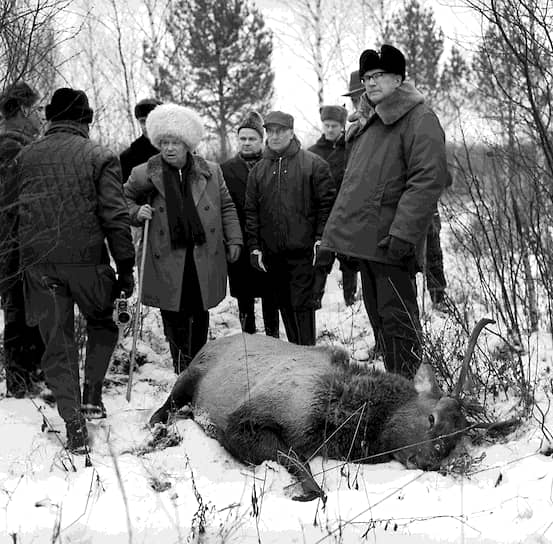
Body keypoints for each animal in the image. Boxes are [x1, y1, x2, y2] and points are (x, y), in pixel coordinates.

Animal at [148, 318, 492, 502]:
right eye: (431, 417)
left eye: (457, 437)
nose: (430, 461)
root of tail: (210, 343)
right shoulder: (241, 421)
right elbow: (299, 464)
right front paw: (306, 492)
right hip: (190, 374)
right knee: (167, 403)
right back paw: (157, 426)